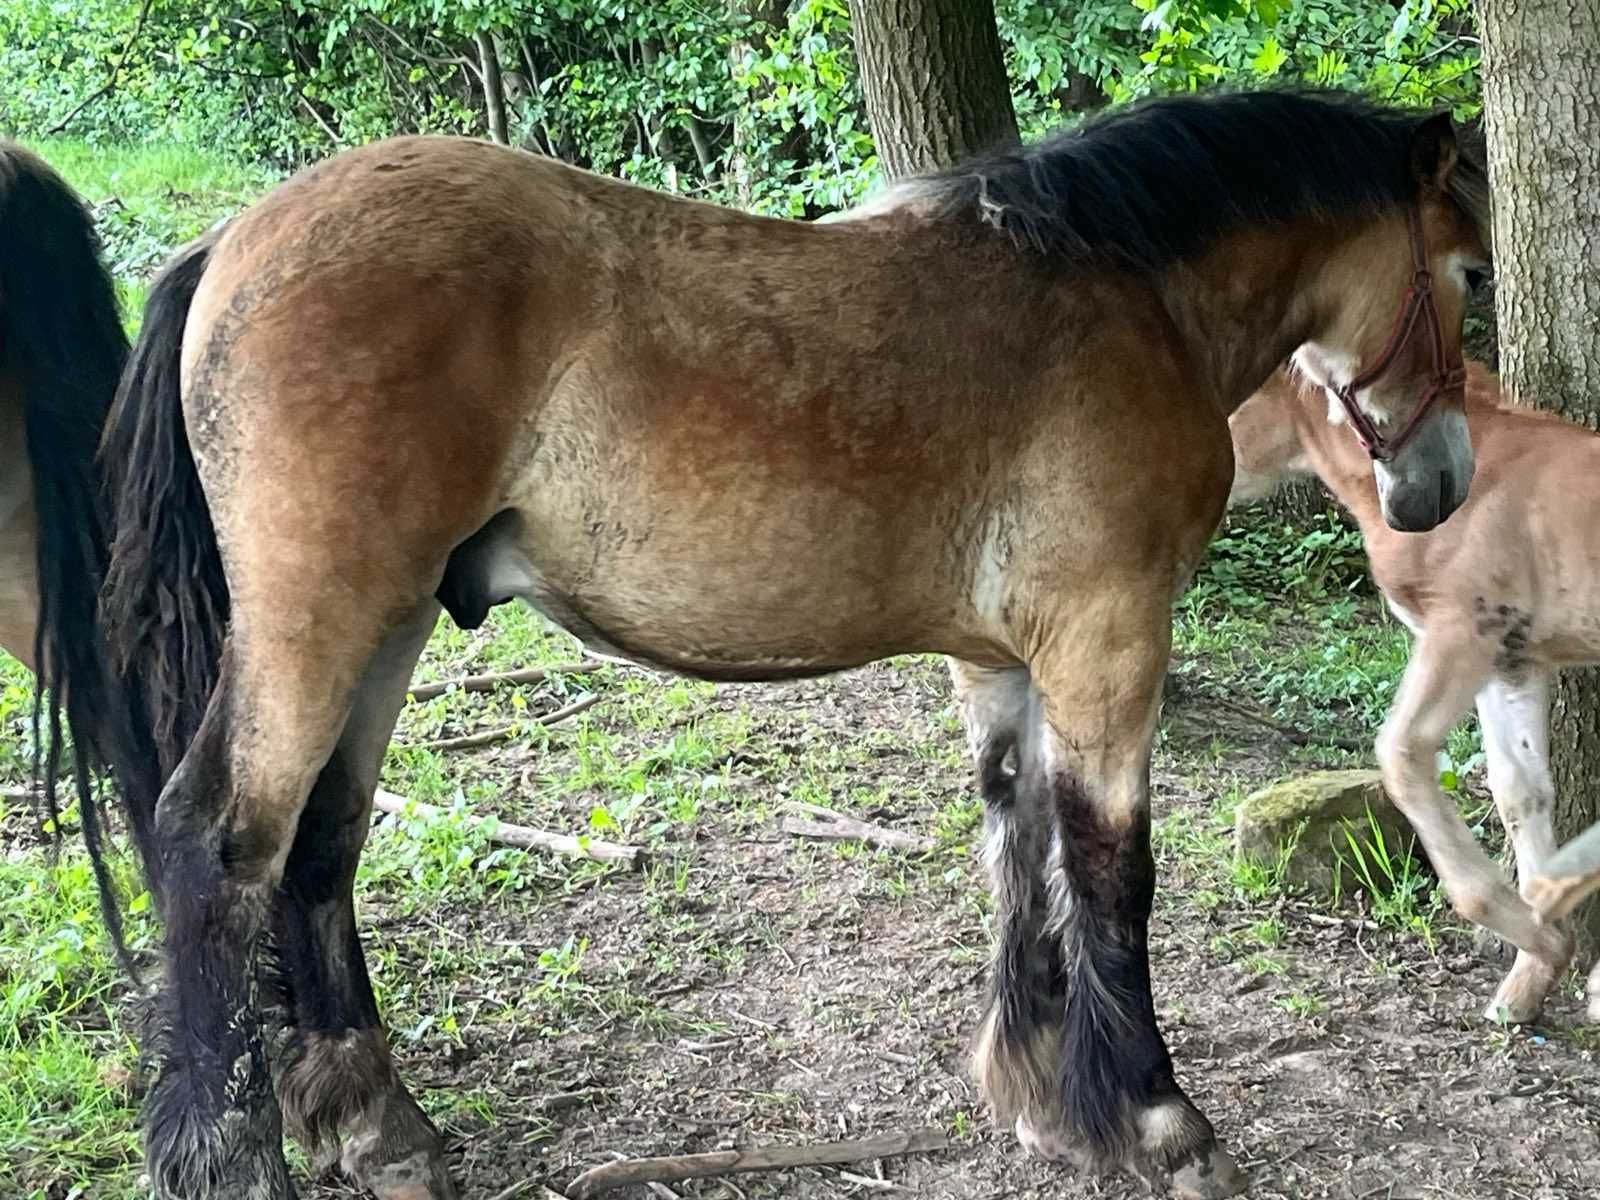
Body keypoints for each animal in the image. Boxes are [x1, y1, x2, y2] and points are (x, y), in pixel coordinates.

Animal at [75, 91, 1491, 1200]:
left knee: (319, 846)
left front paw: (1040, 1100)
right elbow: (1108, 874)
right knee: (218, 841)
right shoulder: (1107, 645)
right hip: (321, 620)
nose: (1439, 486)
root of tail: (234, 240)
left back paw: (378, 1129)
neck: (1123, 295)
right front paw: (1160, 1125)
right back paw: (233, 1156)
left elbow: (1021, 852)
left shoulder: (1007, 664)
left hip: (390, 622)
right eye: (1470, 278)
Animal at [1222, 361, 1587, 1030]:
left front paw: (1537, 941)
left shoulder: (1460, 635)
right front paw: (1531, 978)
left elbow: (1402, 755)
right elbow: (1520, 793)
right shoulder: (1511, 662)